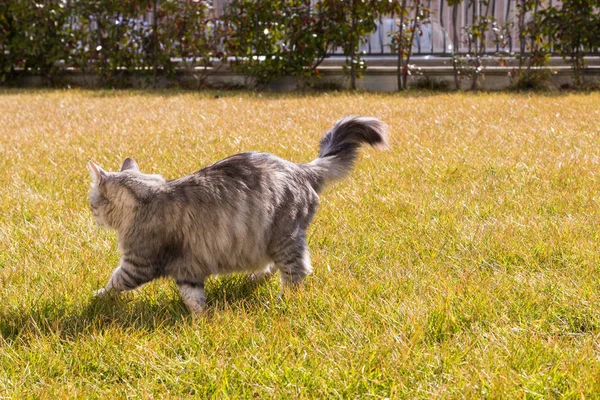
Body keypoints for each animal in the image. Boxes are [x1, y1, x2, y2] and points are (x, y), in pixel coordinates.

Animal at [89, 115, 390, 312]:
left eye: (92, 204)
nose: (92, 215)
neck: (148, 196)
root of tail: (300, 168)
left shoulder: (139, 262)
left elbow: (116, 280)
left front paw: (97, 296)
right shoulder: (188, 269)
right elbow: (194, 298)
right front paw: (201, 320)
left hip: (285, 238)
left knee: (296, 273)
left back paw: (281, 303)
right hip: (267, 240)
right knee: (274, 267)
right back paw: (253, 279)